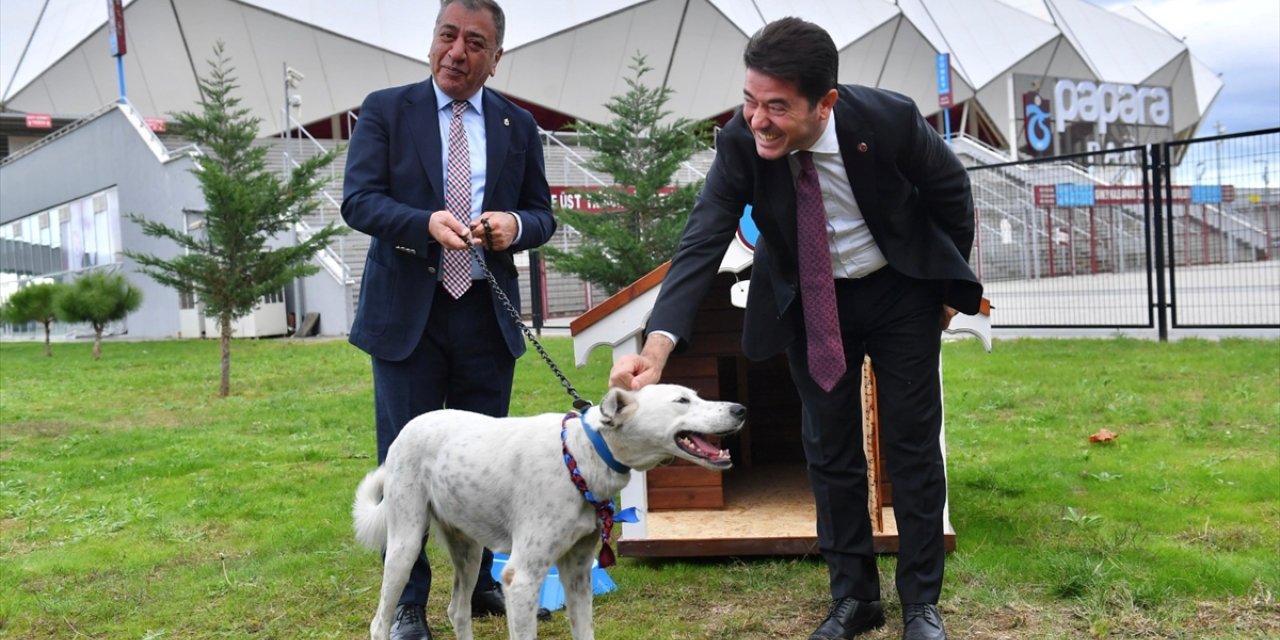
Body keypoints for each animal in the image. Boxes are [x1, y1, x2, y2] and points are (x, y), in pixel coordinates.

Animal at [353, 384, 747, 640]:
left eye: (697, 394)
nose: (740, 409)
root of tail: (411, 424)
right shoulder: (521, 579)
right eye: (682, 400)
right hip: (405, 545)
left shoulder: (577, 572)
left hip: (469, 552)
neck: (583, 454)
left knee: (458, 610)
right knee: (379, 622)